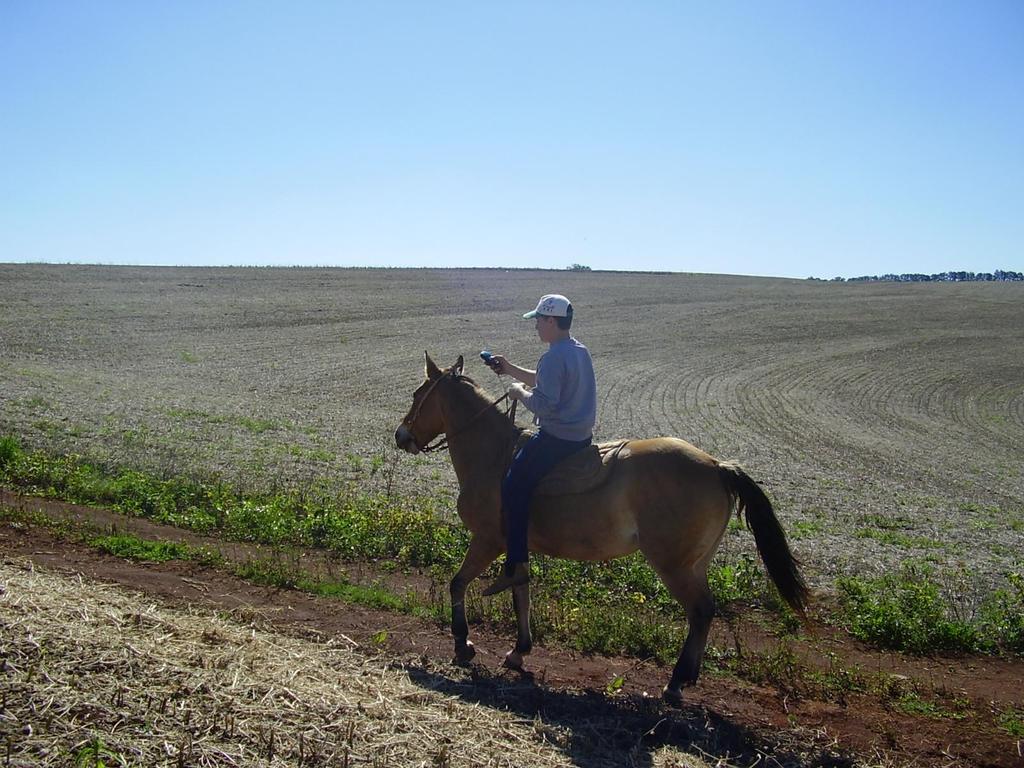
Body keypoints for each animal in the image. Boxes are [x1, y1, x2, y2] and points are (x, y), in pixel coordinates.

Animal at [393, 354, 806, 704]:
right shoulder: (517, 547)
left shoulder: (488, 540)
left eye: (417, 395)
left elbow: (458, 583)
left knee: (701, 611)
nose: (401, 435)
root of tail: (718, 466)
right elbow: (521, 593)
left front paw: (463, 644)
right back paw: (687, 677)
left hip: (674, 565)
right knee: (706, 611)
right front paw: (519, 650)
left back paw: (675, 683)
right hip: (696, 564)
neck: (494, 456)